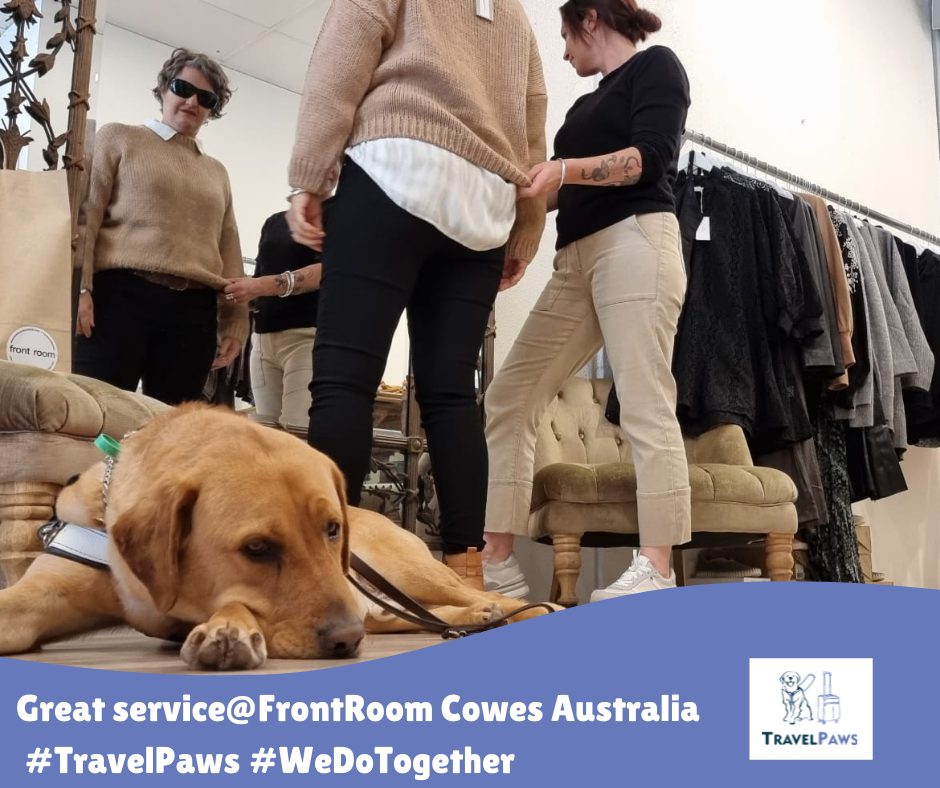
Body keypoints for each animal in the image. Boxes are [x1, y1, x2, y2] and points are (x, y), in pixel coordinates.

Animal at [0, 406, 556, 672]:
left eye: (331, 530)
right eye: (257, 549)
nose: (345, 640)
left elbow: (235, 605)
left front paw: (229, 629)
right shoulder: (40, 594)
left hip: (405, 571)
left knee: (463, 595)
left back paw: (518, 611)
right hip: (375, 603)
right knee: (405, 617)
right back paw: (476, 618)